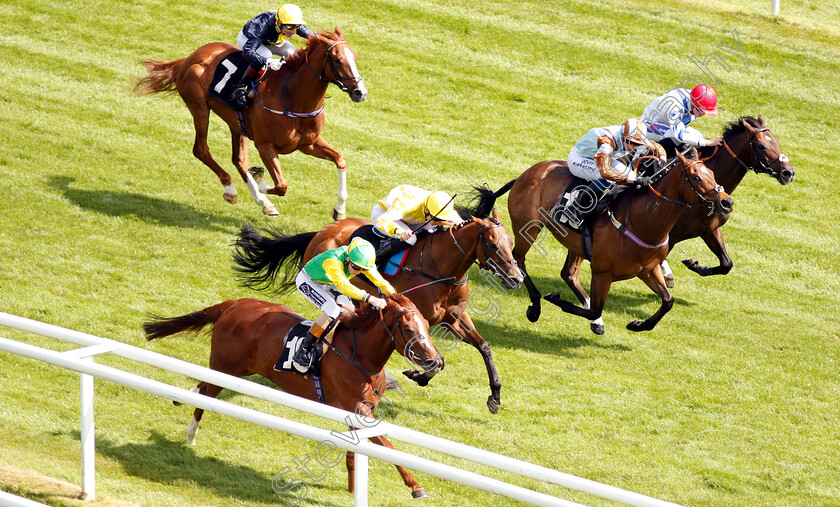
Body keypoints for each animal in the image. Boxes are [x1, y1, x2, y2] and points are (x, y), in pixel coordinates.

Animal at [135, 27, 364, 218]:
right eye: (337, 59)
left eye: (354, 57)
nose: (360, 92)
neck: (292, 98)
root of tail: (190, 57)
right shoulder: (265, 145)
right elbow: (281, 185)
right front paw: (261, 181)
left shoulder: (308, 143)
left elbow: (341, 160)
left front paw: (340, 209)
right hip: (199, 108)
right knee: (201, 150)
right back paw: (232, 189)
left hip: (237, 123)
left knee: (239, 159)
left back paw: (263, 202)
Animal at [143, 294, 446, 500]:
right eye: (408, 329)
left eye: (427, 325)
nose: (436, 361)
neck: (359, 355)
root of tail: (234, 303)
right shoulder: (360, 410)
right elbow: (388, 445)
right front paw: (416, 486)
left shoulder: (356, 411)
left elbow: (356, 449)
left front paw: (352, 486)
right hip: (225, 367)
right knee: (207, 394)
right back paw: (191, 432)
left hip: (234, 369)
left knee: (203, 388)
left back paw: (183, 398)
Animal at [230, 197, 524, 412]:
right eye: (492, 244)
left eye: (510, 242)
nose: (516, 278)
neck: (441, 267)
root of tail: (324, 230)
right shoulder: (420, 319)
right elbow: (436, 358)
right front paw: (418, 374)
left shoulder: (453, 316)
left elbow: (484, 347)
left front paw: (495, 398)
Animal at [482, 149, 732, 336]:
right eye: (696, 177)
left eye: (712, 172)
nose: (726, 202)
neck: (642, 221)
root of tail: (526, 174)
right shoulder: (602, 273)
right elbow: (594, 309)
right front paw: (555, 299)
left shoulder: (647, 269)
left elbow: (668, 301)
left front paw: (638, 325)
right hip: (529, 228)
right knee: (519, 260)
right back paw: (535, 305)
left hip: (576, 244)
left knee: (568, 273)